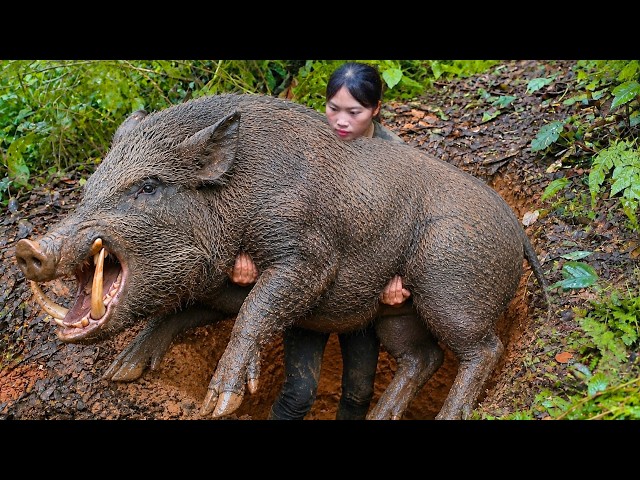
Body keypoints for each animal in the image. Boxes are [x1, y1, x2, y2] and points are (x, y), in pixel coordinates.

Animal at [15, 93, 549, 420]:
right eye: (90, 185)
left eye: (148, 186)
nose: (28, 248)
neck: (235, 201)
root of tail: (516, 229)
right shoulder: (222, 284)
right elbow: (184, 313)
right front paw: (121, 372)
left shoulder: (307, 256)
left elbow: (255, 310)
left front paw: (219, 403)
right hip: (398, 312)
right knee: (423, 357)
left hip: (451, 281)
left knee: (483, 349)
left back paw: (450, 413)